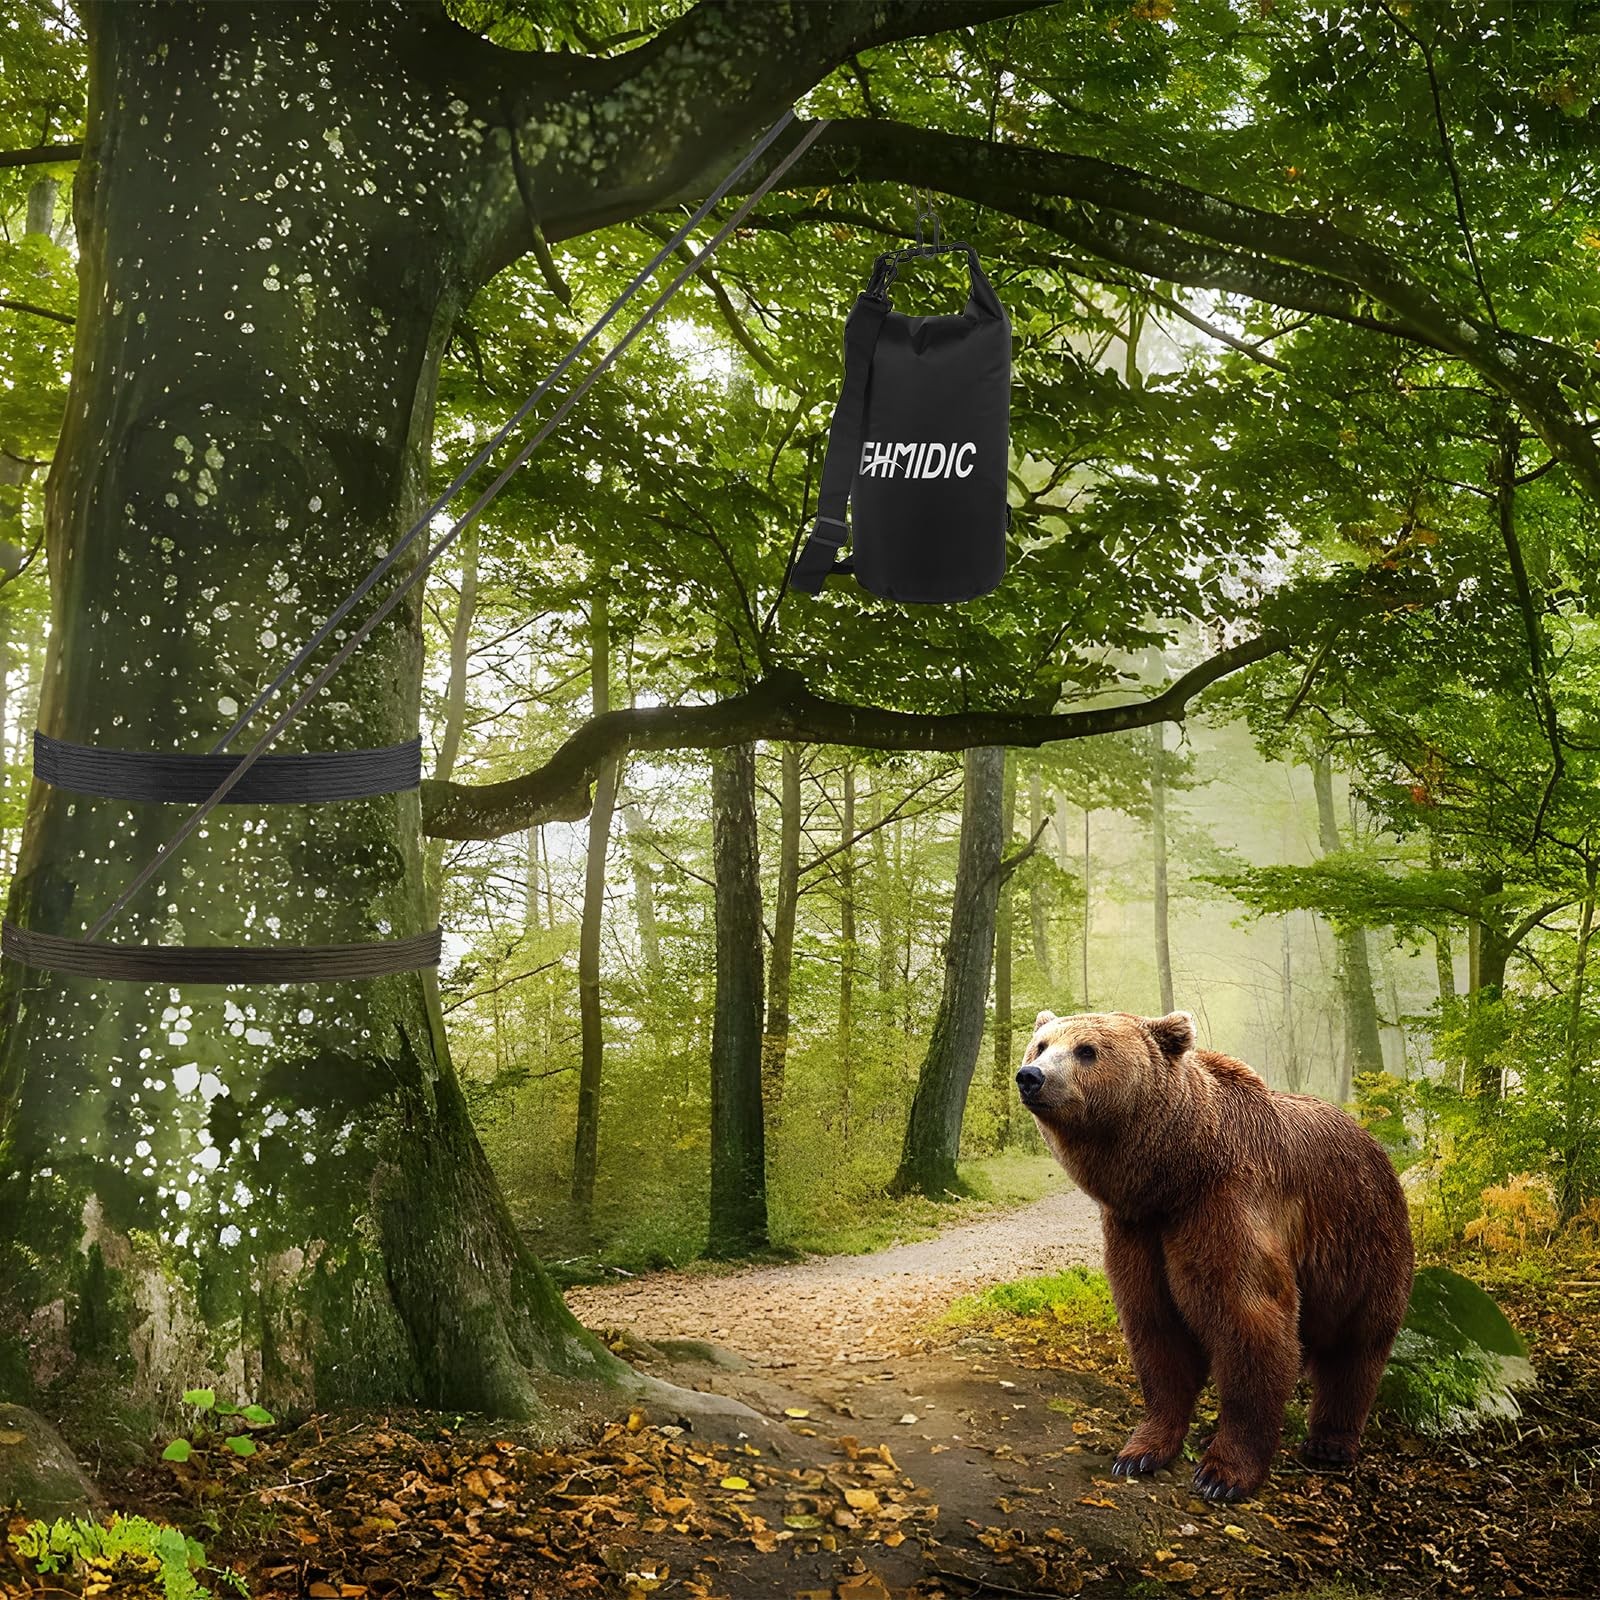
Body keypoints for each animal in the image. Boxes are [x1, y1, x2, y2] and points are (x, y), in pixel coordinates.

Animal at [1016, 1008, 1414, 1503]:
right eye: (1041, 1045)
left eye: (1086, 1050)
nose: (1031, 1077)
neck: (1175, 1174)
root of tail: (1376, 1144)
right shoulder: (1137, 1230)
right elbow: (1155, 1327)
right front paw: (1140, 1451)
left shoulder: (1226, 1207)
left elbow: (1249, 1320)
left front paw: (1222, 1473)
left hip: (1364, 1244)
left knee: (1357, 1346)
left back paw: (1330, 1442)